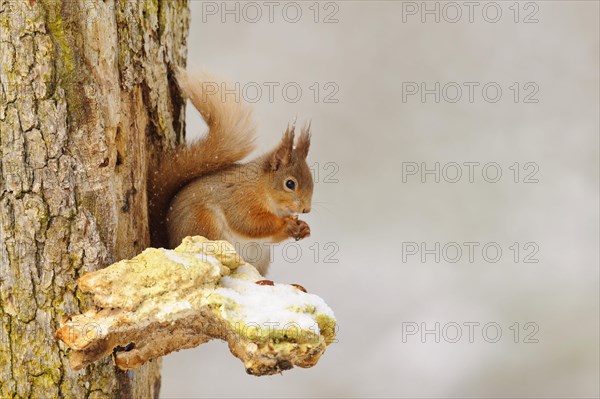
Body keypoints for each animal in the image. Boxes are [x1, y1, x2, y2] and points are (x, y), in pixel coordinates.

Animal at [148, 69, 314, 276]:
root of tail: (170, 244)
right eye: (290, 184)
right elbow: (248, 222)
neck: (261, 186)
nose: (306, 209)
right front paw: (286, 224)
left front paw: (304, 228)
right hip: (206, 226)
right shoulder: (242, 198)